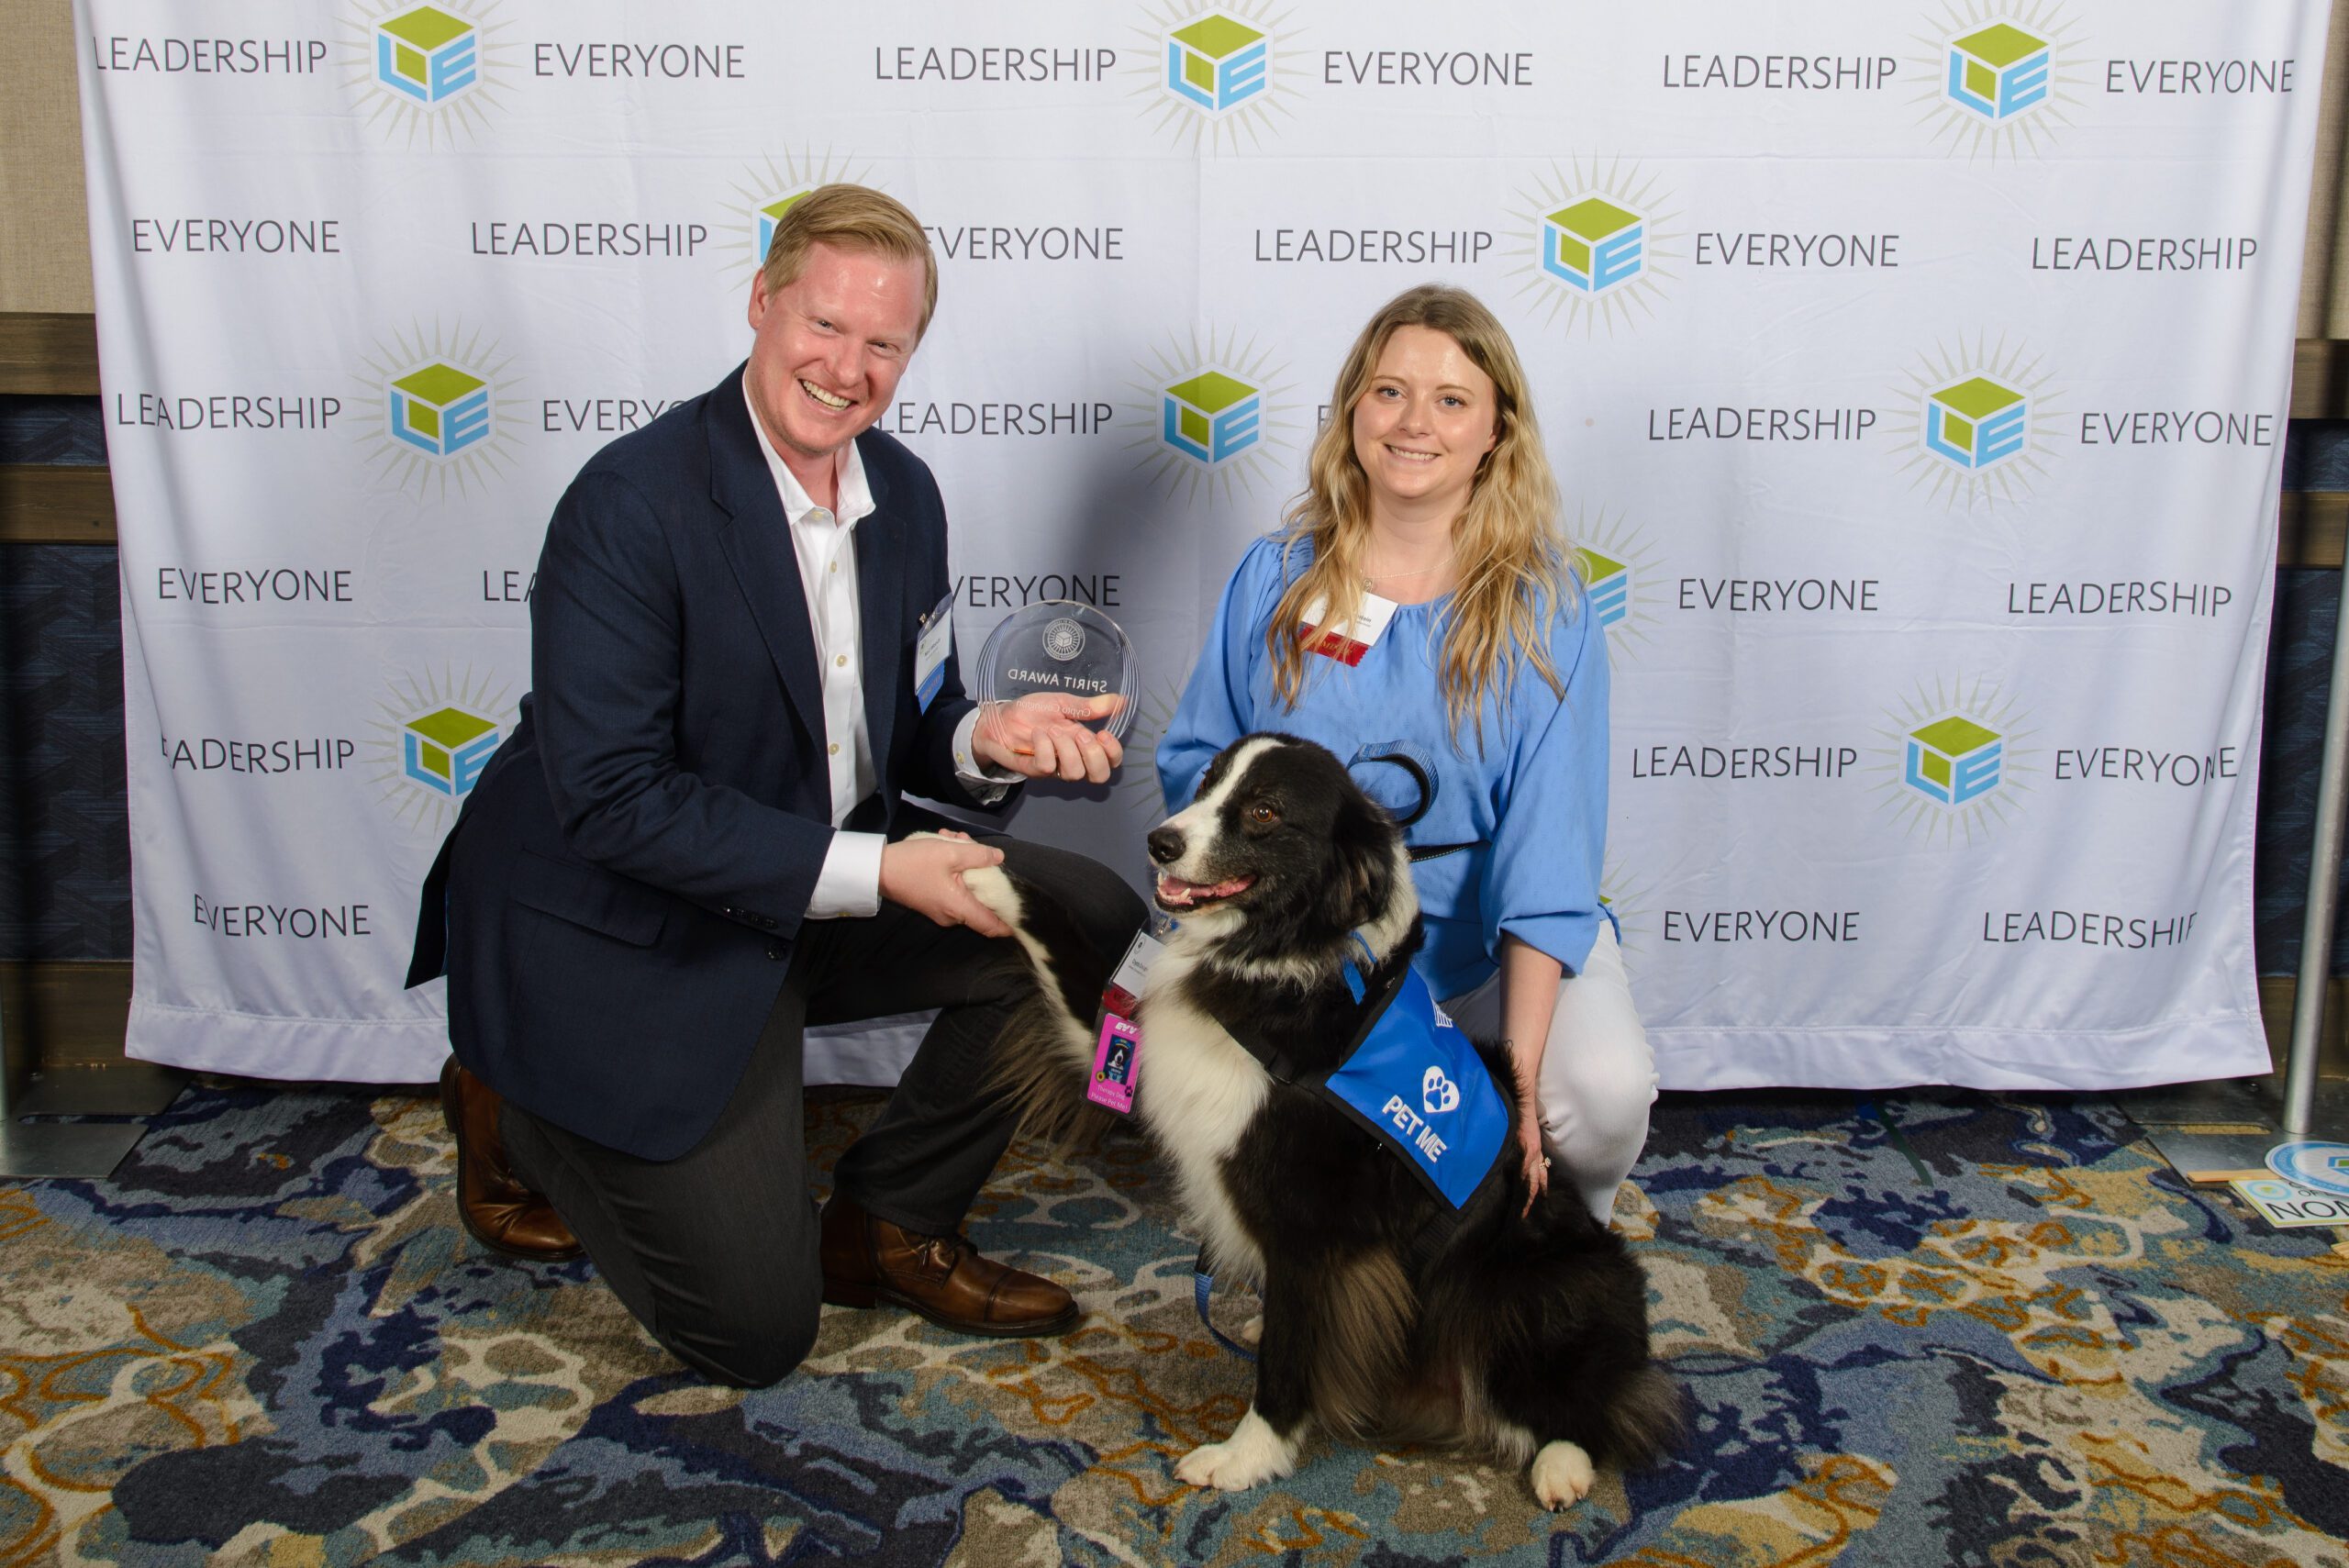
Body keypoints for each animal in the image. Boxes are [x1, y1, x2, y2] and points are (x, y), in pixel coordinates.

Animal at [959, 732, 1681, 1509]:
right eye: (1207, 783)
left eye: (1265, 811)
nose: (1161, 842)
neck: (1276, 960)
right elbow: (1058, 945)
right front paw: (973, 873)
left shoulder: (1317, 1227)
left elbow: (1287, 1359)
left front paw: (1245, 1457)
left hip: (1522, 1285)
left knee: (1592, 1400)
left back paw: (1562, 1464)